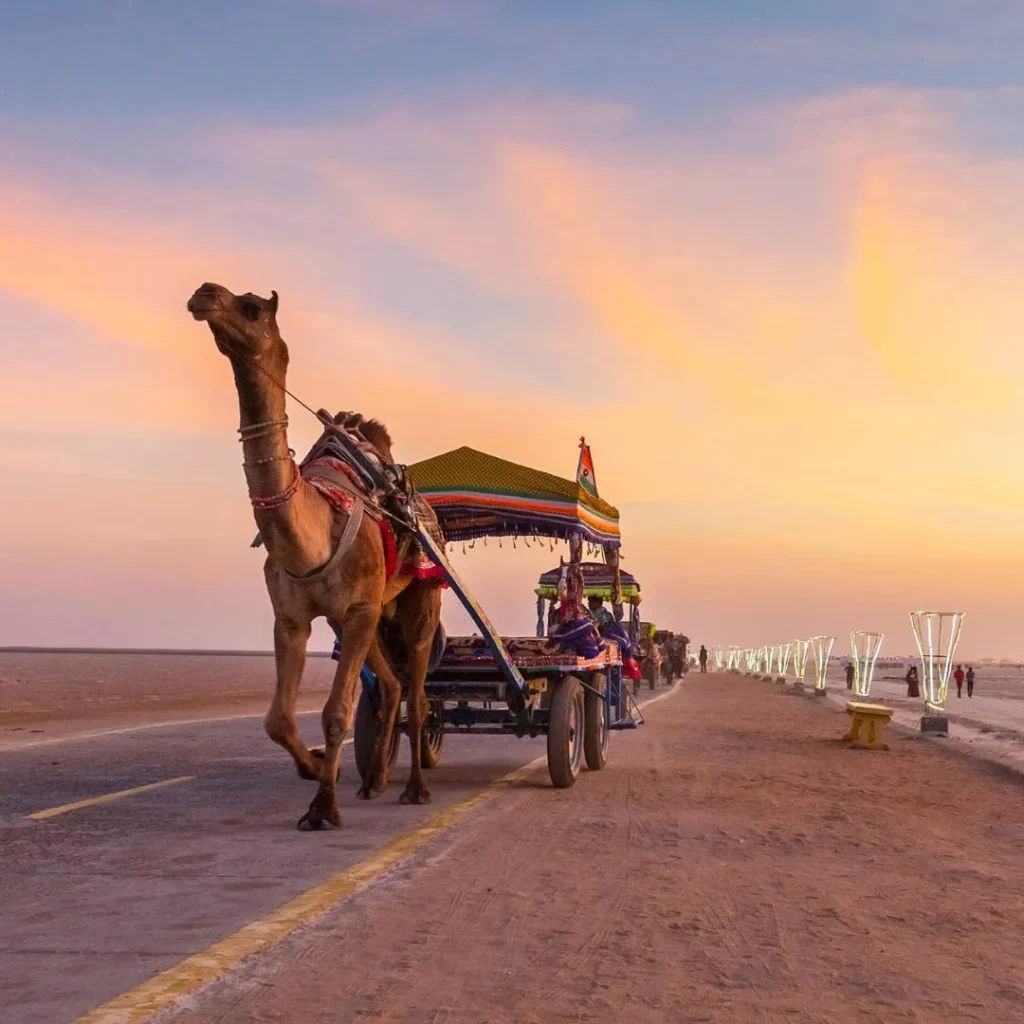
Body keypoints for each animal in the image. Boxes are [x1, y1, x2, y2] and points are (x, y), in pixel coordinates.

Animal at [187, 282, 443, 829]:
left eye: (252, 307)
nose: (204, 293)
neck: (313, 535)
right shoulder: (294, 616)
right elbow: (278, 719)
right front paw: (317, 768)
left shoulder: (359, 607)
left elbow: (335, 712)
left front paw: (323, 806)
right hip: (366, 616)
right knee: (391, 686)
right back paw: (374, 780)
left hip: (420, 597)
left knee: (416, 692)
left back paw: (414, 788)